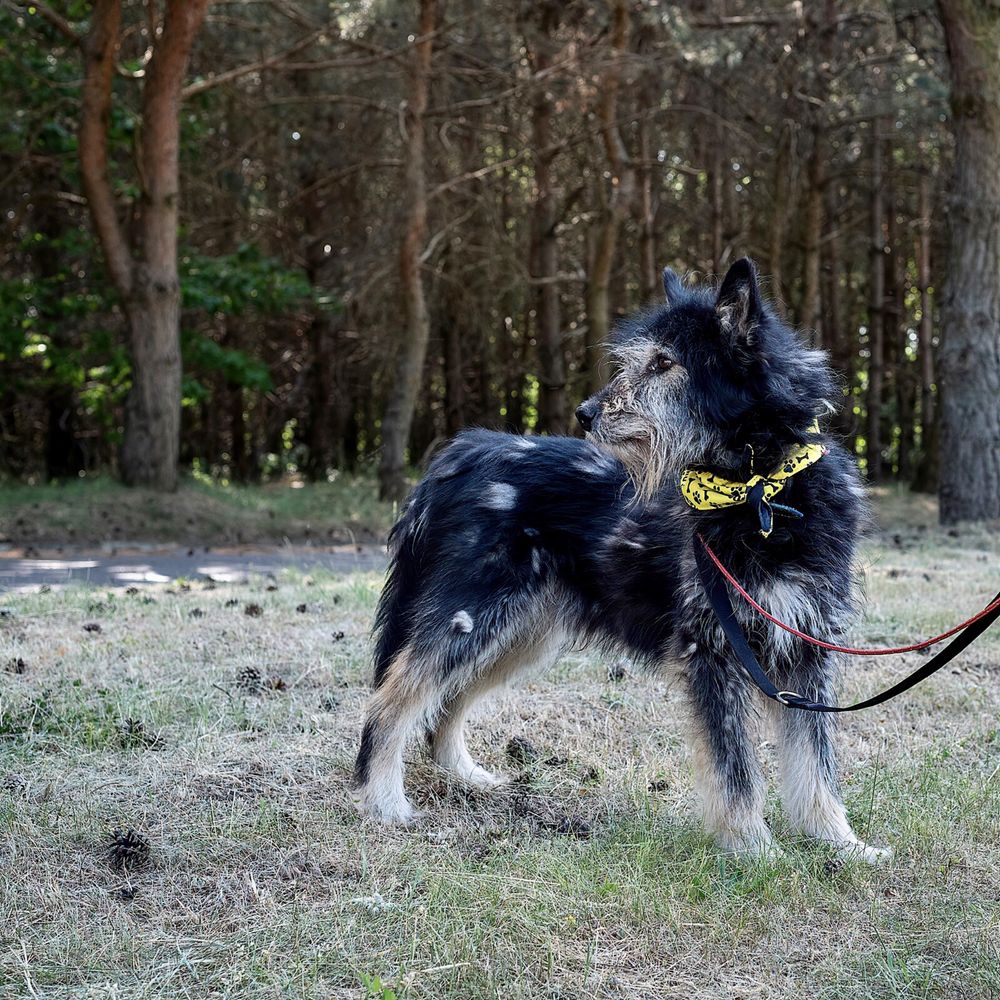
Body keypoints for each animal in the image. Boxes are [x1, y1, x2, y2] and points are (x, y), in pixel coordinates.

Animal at [352, 262, 892, 864]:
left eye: (663, 362)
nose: (585, 413)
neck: (761, 491)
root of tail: (462, 454)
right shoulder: (712, 651)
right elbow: (733, 769)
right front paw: (753, 850)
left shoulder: (804, 649)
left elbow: (815, 765)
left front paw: (839, 843)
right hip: (468, 617)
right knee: (392, 700)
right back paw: (384, 801)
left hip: (519, 634)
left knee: (445, 705)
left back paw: (465, 777)